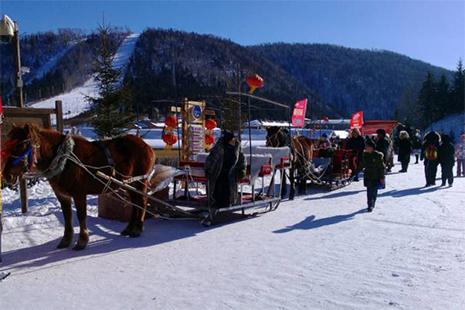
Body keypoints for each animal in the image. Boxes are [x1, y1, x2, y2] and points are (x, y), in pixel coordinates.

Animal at [2, 123, 154, 249]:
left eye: (20, 146)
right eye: (7, 146)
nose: (6, 175)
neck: (64, 160)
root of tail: (146, 145)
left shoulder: (79, 194)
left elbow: (81, 216)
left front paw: (82, 241)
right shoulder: (62, 195)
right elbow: (67, 216)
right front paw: (66, 240)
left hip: (140, 182)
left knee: (142, 201)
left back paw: (138, 229)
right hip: (128, 184)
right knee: (135, 204)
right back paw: (129, 228)